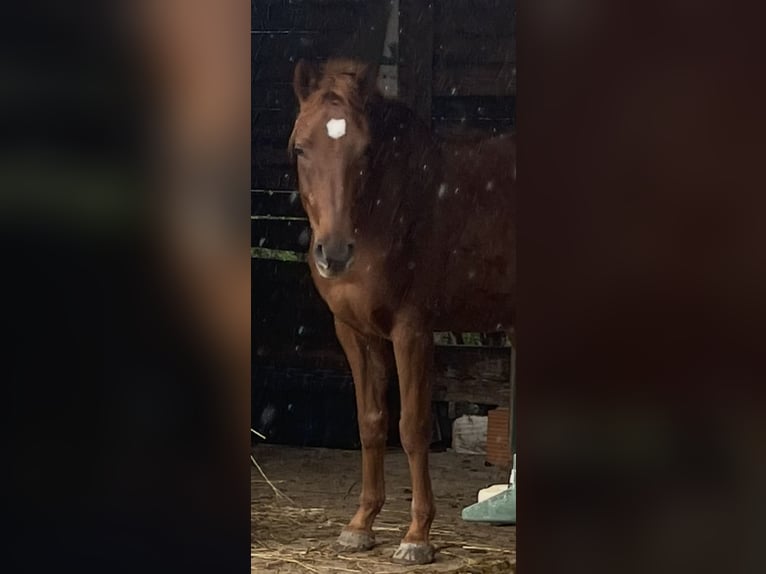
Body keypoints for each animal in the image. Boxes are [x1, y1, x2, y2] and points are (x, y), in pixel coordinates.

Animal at [288, 58, 516, 565]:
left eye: (365, 150)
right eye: (300, 148)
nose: (334, 253)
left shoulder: (412, 331)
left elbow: (411, 427)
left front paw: (417, 537)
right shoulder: (355, 332)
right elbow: (371, 423)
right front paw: (360, 525)